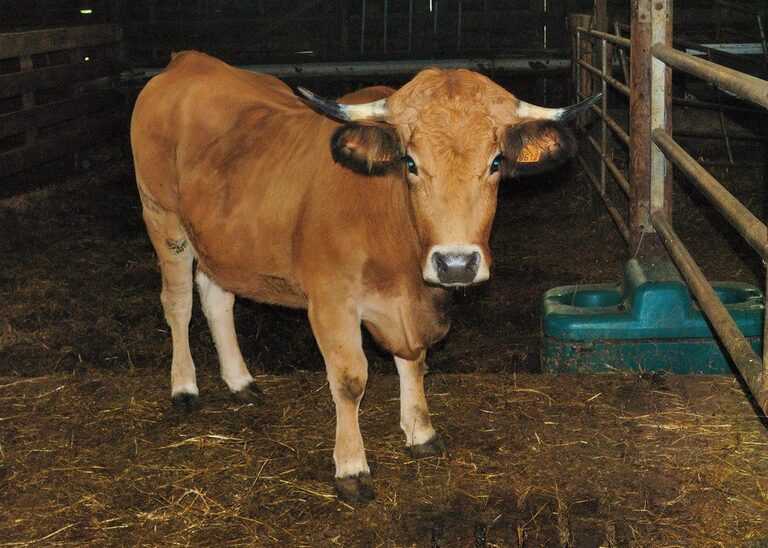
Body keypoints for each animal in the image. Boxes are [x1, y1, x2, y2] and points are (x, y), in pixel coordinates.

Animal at [130, 51, 598, 506]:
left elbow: (414, 361)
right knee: (178, 302)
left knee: (215, 297)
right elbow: (350, 380)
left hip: (220, 242)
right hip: (162, 218)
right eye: (410, 162)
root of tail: (188, 61)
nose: (456, 263)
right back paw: (184, 386)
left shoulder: (406, 308)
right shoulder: (330, 301)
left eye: (496, 162)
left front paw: (420, 432)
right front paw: (351, 469)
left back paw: (240, 381)